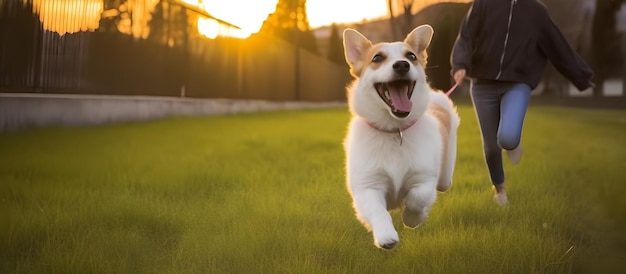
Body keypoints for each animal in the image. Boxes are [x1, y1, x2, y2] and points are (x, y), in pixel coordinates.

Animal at [342, 25, 458, 248]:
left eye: (411, 56)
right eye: (377, 58)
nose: (402, 65)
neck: (395, 131)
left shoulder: (424, 179)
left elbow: (418, 197)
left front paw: (412, 219)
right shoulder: (367, 187)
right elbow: (378, 211)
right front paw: (386, 236)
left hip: (445, 175)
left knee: (443, 184)